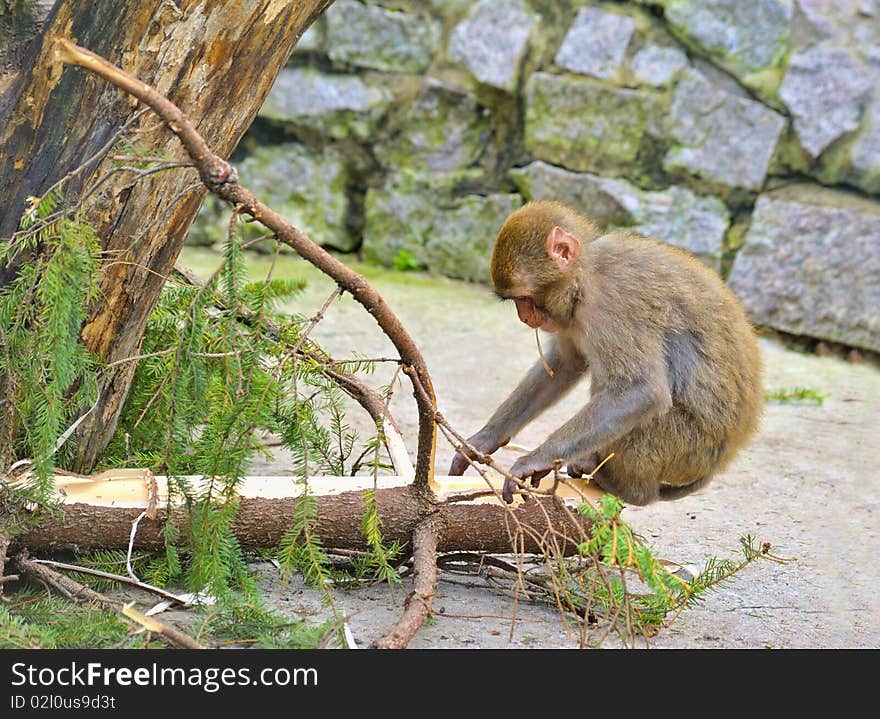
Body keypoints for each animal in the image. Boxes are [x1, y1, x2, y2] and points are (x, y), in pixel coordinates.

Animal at [446, 198, 764, 506]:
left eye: (524, 299)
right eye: (515, 301)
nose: (524, 317)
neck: (586, 276)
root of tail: (721, 461)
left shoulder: (612, 303)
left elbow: (641, 390)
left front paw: (535, 459)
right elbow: (565, 365)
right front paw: (485, 439)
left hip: (685, 449)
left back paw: (629, 489)